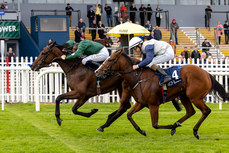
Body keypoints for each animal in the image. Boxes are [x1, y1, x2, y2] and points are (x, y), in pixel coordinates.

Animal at [95, 50, 229, 139]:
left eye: (110, 60)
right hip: (184, 96)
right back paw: (176, 125)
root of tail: (207, 73)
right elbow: (129, 115)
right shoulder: (141, 103)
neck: (138, 78)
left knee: (206, 111)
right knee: (190, 112)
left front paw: (169, 126)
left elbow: (154, 124)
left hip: (195, 97)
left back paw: (194, 130)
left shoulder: (153, 105)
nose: (97, 71)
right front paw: (141, 131)